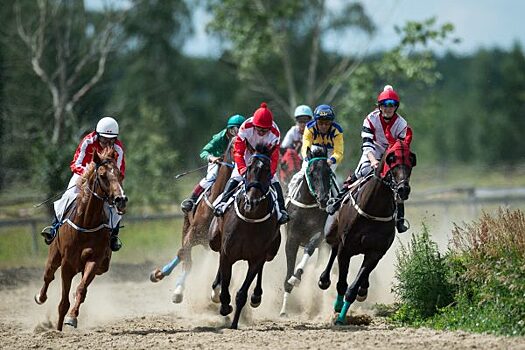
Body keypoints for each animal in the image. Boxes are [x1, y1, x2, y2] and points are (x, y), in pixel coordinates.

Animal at [34, 148, 128, 330]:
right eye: (102, 175)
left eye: (119, 174)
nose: (121, 199)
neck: (87, 222)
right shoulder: (67, 264)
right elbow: (63, 303)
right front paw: (58, 329)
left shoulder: (95, 260)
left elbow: (81, 289)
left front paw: (72, 317)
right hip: (54, 255)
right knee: (48, 275)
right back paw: (40, 297)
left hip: (100, 265)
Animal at [149, 138, 235, 302]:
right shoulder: (193, 233)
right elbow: (185, 257)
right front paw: (177, 291)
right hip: (186, 226)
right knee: (181, 253)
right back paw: (160, 274)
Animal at [209, 144, 282, 330]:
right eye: (248, 168)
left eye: (267, 170)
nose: (252, 202)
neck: (250, 219)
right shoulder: (227, 253)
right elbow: (225, 284)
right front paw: (224, 305)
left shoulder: (257, 257)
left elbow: (242, 293)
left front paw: (234, 323)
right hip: (214, 240)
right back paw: (215, 290)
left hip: (271, 251)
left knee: (262, 266)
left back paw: (256, 296)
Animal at [278, 145, 332, 318]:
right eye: (312, 172)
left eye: (328, 172)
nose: (323, 199)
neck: (308, 205)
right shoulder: (292, 238)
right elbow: (288, 274)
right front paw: (283, 310)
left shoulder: (319, 235)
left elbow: (309, 248)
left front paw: (296, 277)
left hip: (325, 246)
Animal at [318, 138, 416, 324]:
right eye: (391, 159)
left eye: (411, 161)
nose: (403, 189)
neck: (374, 207)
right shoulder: (346, 248)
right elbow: (342, 283)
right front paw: (338, 309)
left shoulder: (376, 251)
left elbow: (353, 288)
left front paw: (342, 316)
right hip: (331, 232)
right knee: (333, 248)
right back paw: (324, 279)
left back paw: (363, 289)